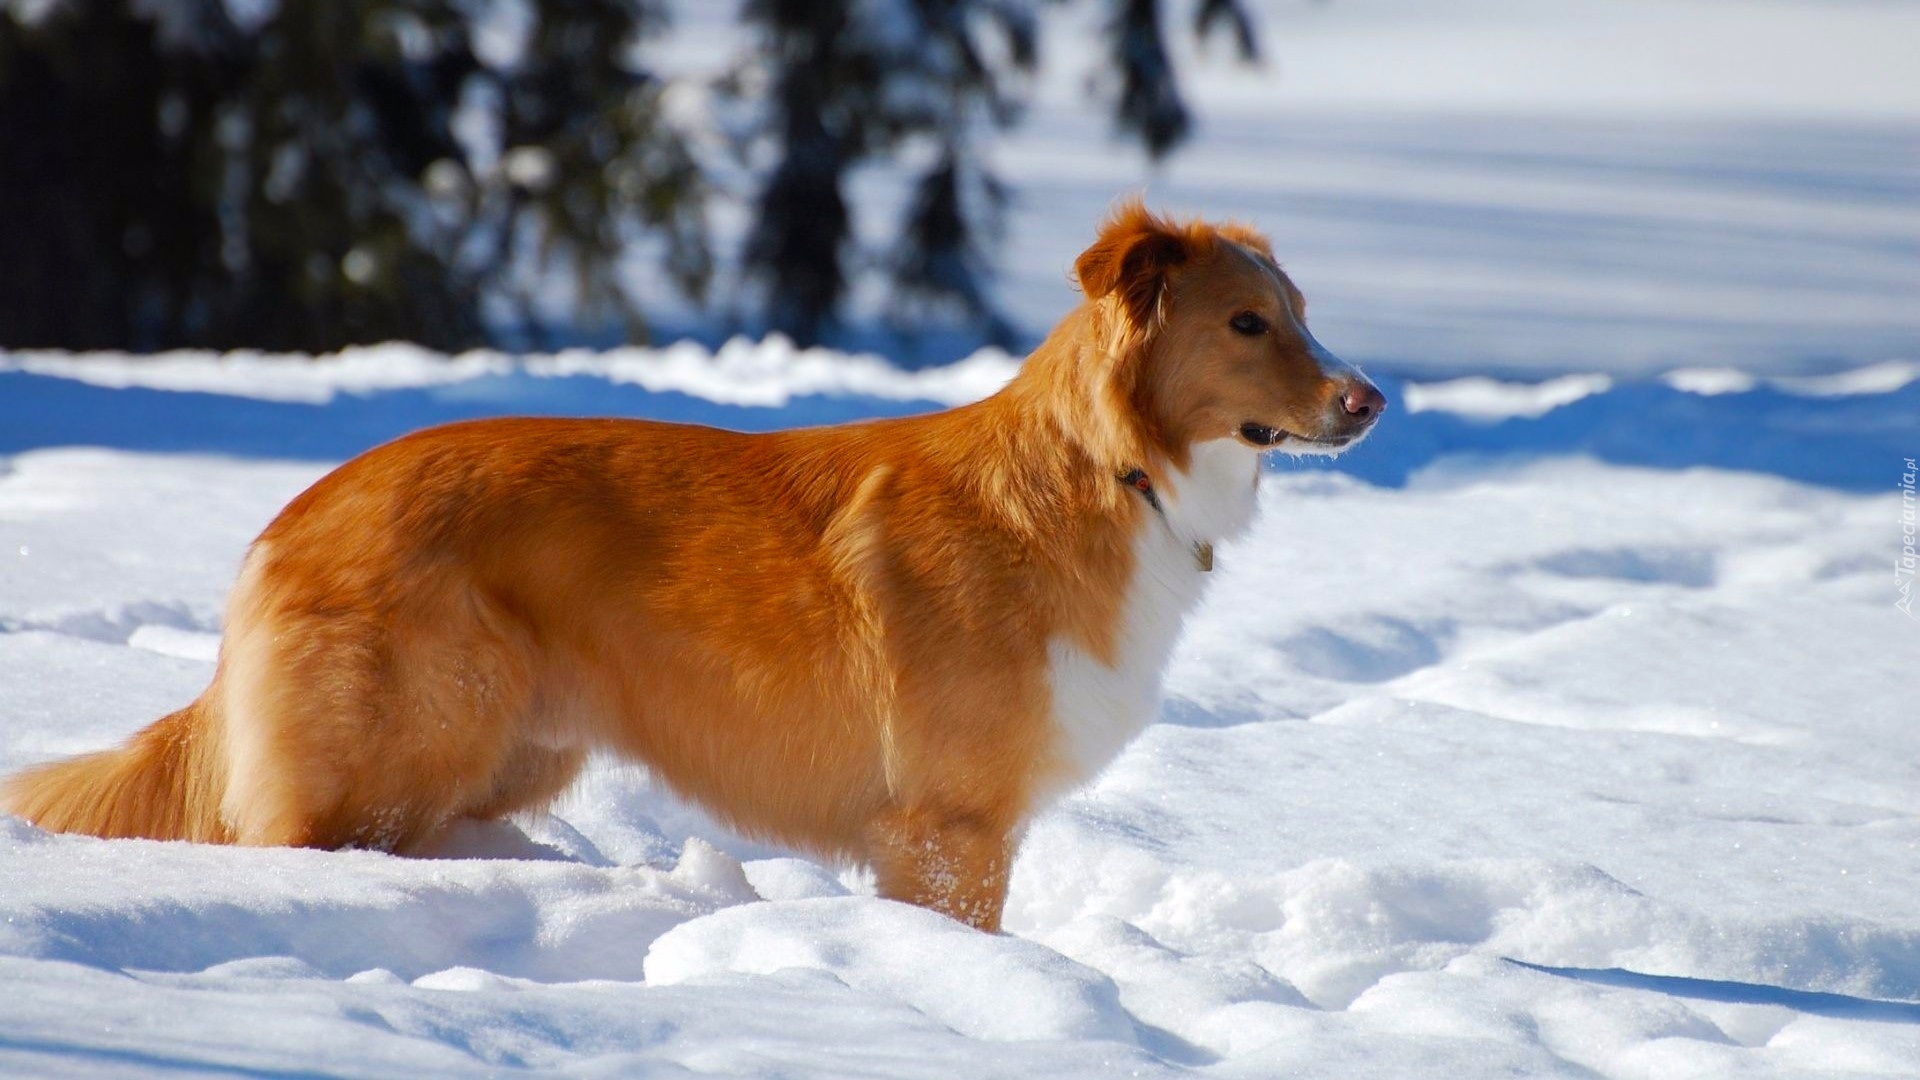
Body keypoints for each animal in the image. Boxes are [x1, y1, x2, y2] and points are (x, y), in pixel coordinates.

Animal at [0, 201, 1382, 926]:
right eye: (1248, 325)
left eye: (1304, 316)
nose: (1371, 403)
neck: (1110, 467)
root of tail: (293, 514)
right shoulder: (949, 827)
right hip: (396, 758)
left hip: (504, 757)